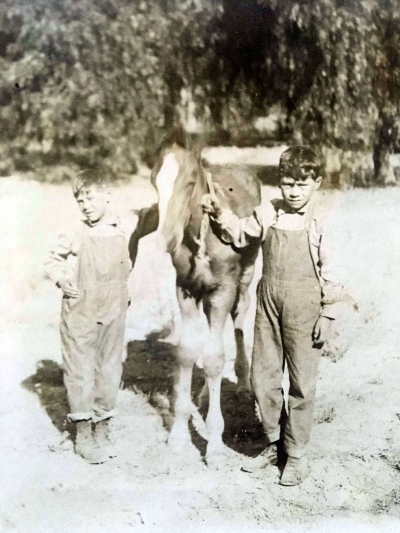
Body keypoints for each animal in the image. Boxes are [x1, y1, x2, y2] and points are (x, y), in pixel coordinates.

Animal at [142, 142, 260, 466]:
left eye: (190, 182)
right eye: (154, 182)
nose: (167, 238)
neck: (202, 237)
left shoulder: (222, 291)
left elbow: (215, 358)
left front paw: (215, 444)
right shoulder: (186, 290)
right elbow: (187, 352)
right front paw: (179, 434)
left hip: (242, 283)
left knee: (239, 321)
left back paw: (243, 385)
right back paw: (205, 394)